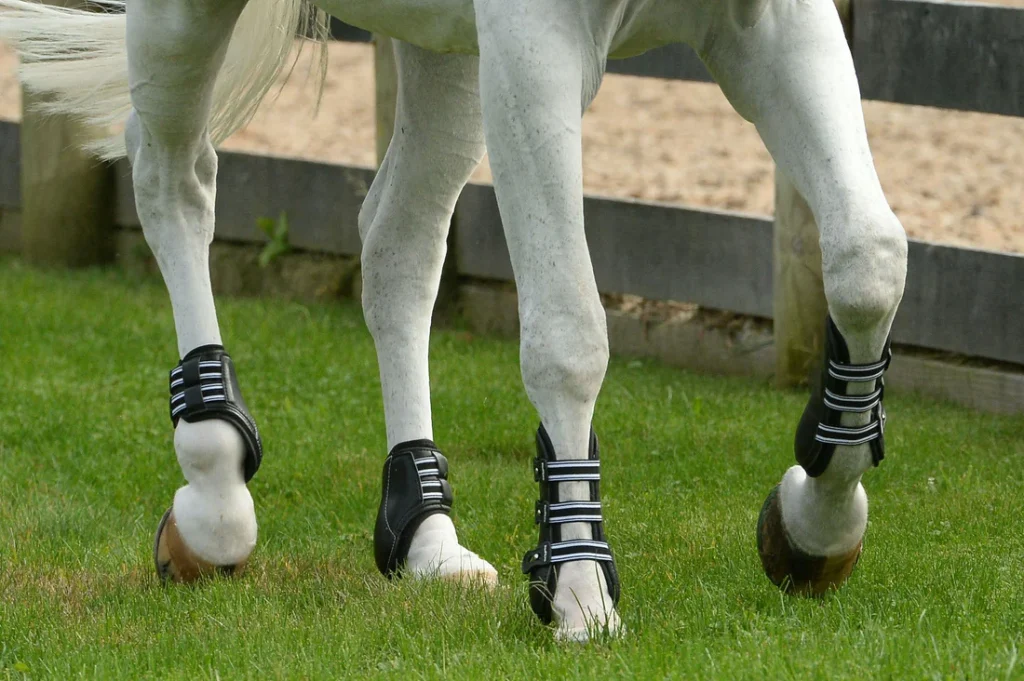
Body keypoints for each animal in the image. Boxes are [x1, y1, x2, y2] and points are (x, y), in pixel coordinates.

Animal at [0, 0, 907, 642]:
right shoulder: (536, 46)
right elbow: (568, 336)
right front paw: (579, 591)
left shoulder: (778, 20)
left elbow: (870, 261)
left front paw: (815, 526)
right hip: (192, 17)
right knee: (173, 178)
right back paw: (214, 493)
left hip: (454, 58)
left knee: (396, 245)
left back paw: (425, 536)